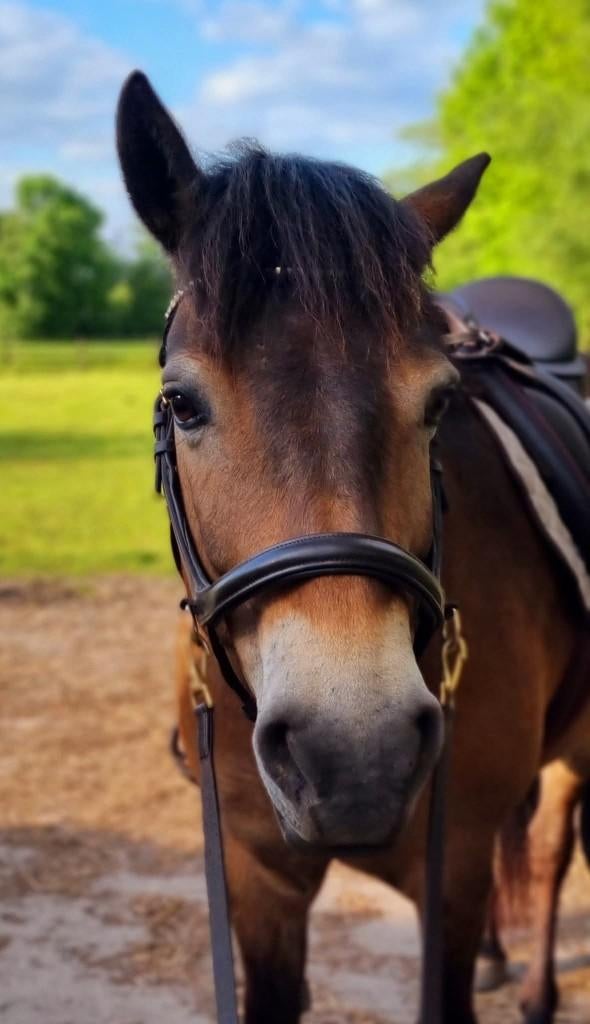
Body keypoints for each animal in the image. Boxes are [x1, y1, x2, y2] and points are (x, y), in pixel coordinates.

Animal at [116, 71, 590, 1023]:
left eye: (439, 402)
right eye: (182, 403)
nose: (355, 755)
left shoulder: (450, 873)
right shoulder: (256, 877)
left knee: (554, 846)